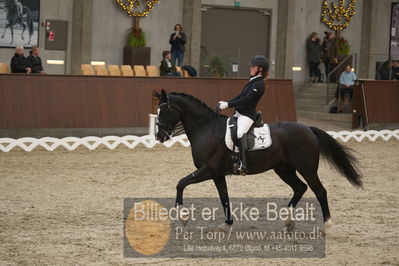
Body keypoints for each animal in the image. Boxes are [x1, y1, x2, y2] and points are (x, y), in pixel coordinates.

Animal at [155, 90, 362, 231]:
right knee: (300, 188)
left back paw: (326, 224)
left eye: (164, 111)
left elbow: (181, 183)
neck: (206, 128)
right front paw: (227, 224)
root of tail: (308, 128)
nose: (159, 136)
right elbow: (224, 198)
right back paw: (288, 221)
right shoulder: (217, 174)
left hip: (307, 169)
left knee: (319, 191)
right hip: (284, 169)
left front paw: (182, 216)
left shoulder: (209, 170)